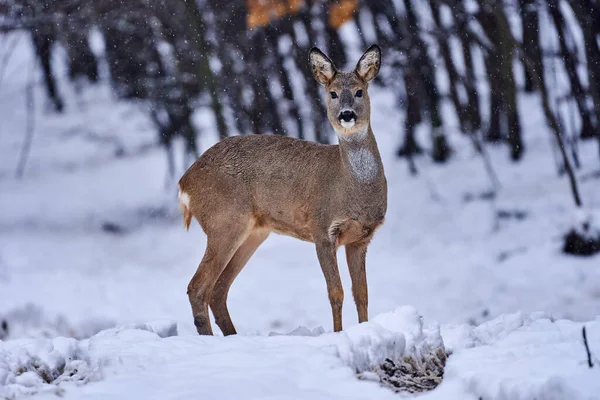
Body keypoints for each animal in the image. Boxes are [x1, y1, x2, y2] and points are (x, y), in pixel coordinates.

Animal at [178, 45, 386, 336]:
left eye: (359, 91)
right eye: (332, 93)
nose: (347, 115)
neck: (351, 187)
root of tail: (185, 182)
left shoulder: (361, 238)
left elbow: (362, 294)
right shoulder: (322, 229)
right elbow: (336, 292)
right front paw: (338, 334)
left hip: (253, 232)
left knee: (218, 290)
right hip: (224, 221)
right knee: (198, 287)